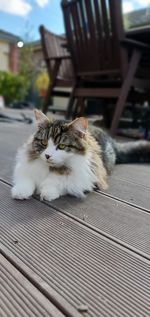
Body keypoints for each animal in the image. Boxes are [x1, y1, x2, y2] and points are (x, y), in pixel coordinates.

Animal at [11, 110, 150, 201]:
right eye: (44, 143)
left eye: (62, 146)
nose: (47, 156)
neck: (52, 168)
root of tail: (112, 141)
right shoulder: (24, 169)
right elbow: (26, 181)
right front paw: (20, 192)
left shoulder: (87, 178)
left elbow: (60, 184)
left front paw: (47, 192)